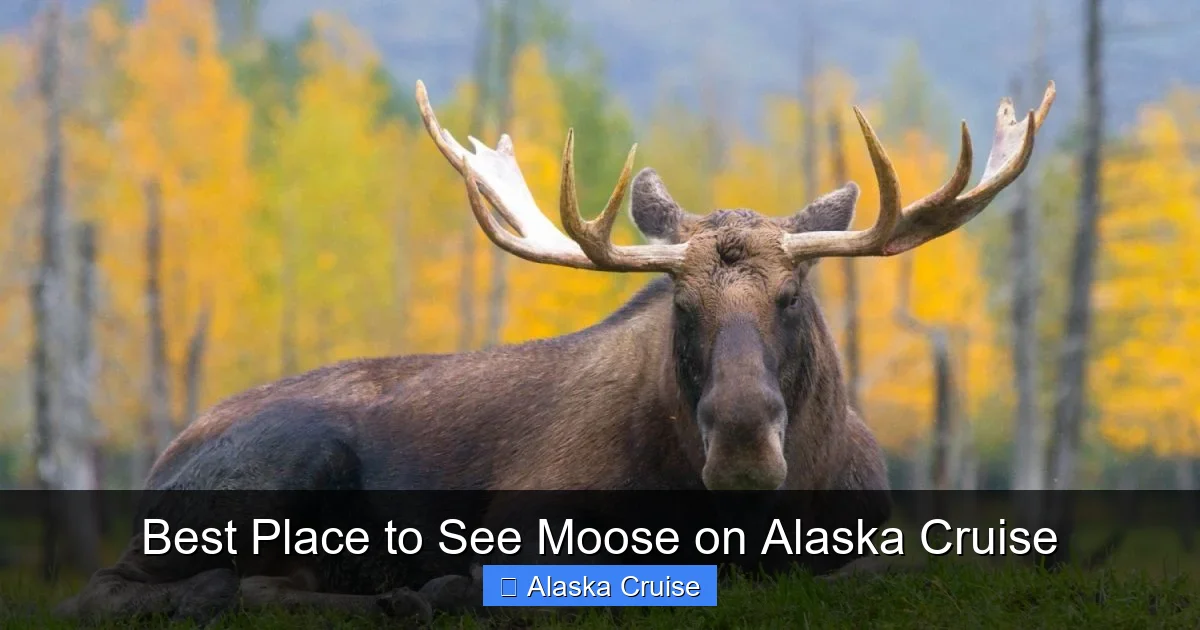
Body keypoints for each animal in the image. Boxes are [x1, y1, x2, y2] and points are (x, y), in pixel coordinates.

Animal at [57, 78, 1055, 625]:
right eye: (680, 303)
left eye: (794, 295)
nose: (741, 441)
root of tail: (163, 458)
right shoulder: (530, 515)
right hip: (287, 461)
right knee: (120, 589)